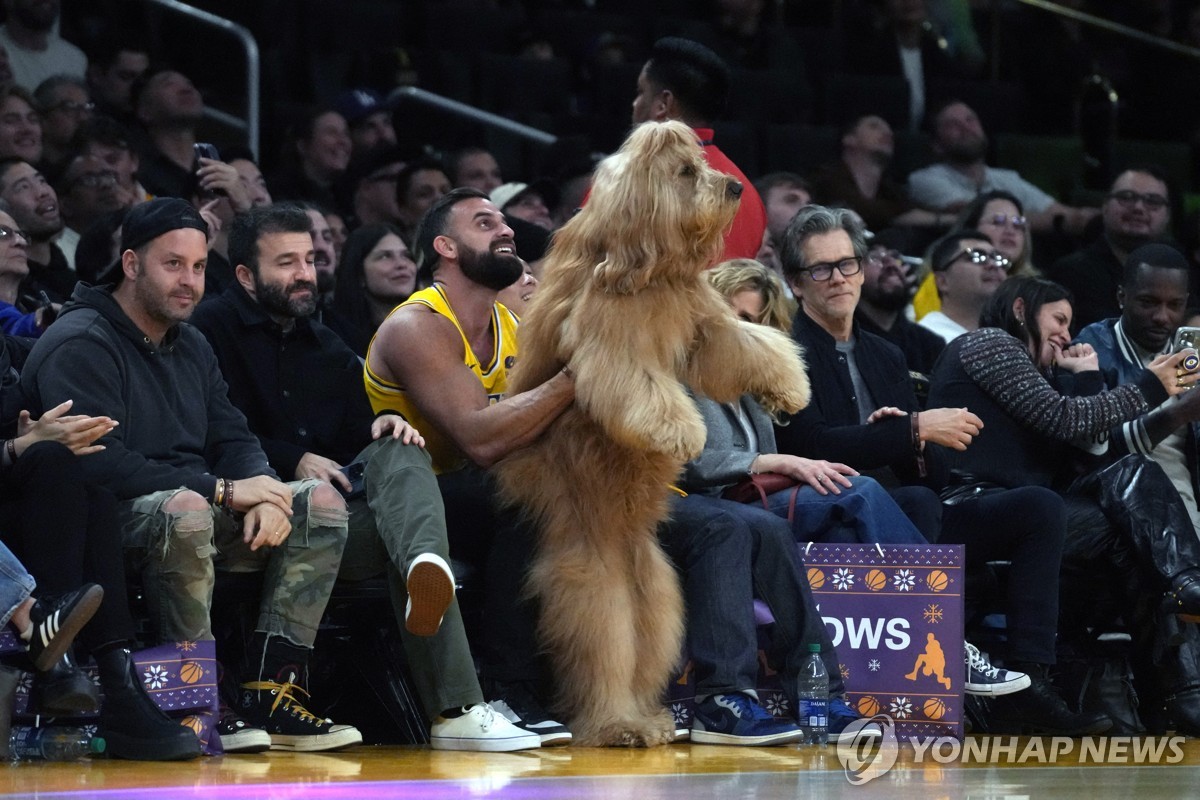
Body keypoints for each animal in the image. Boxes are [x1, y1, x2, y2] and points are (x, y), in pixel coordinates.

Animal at [492, 122, 811, 748]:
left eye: (701, 163)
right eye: (685, 172)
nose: (736, 187)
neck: (650, 265)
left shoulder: (705, 322)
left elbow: (747, 344)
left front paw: (788, 386)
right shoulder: (609, 340)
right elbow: (638, 381)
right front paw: (679, 430)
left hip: (656, 583)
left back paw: (649, 717)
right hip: (593, 573)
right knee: (603, 643)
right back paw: (618, 722)